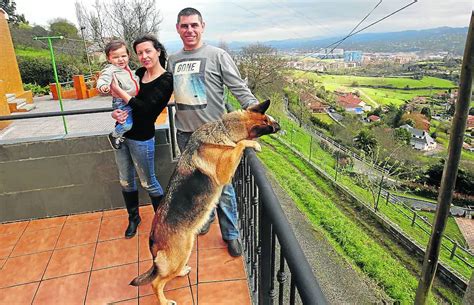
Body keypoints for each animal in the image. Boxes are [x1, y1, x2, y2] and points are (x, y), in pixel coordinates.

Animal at [130, 100, 280, 304]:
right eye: (269, 123)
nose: (279, 125)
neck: (224, 129)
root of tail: (153, 239)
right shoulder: (225, 170)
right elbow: (240, 144)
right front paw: (253, 144)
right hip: (181, 253)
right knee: (156, 283)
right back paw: (165, 300)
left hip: (182, 253)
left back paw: (181, 273)